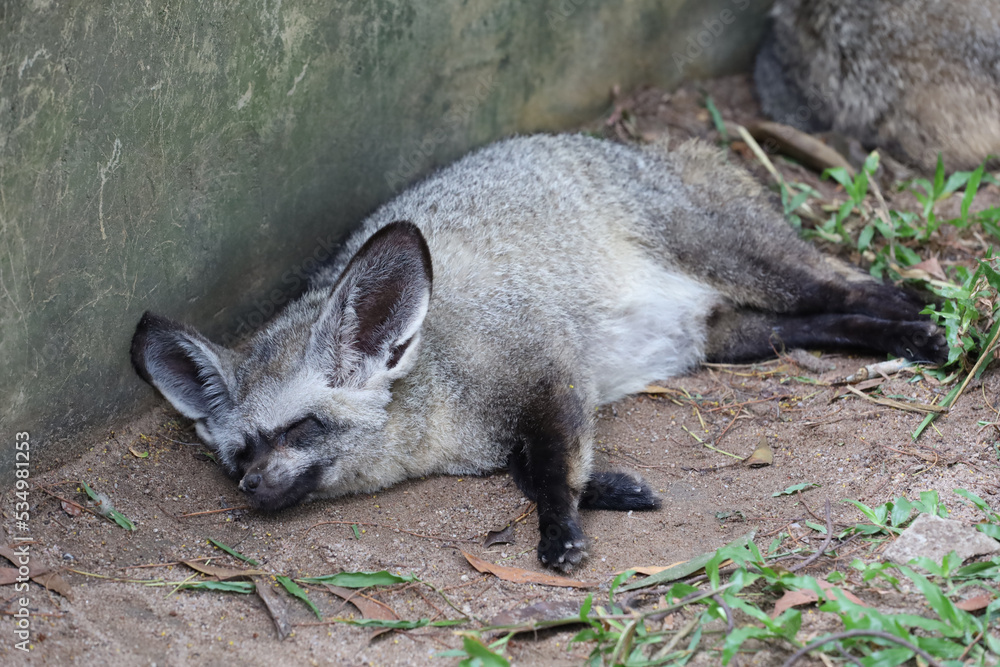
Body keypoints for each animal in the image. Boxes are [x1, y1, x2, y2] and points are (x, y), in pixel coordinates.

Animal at [130, 135, 946, 571]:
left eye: (301, 427)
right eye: (238, 454)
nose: (251, 487)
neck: (444, 420)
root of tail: (652, 151)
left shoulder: (551, 367)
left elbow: (548, 469)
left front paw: (563, 528)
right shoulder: (530, 411)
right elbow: (531, 468)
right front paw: (609, 489)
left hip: (751, 270)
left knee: (849, 286)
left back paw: (921, 322)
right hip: (732, 338)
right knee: (825, 321)